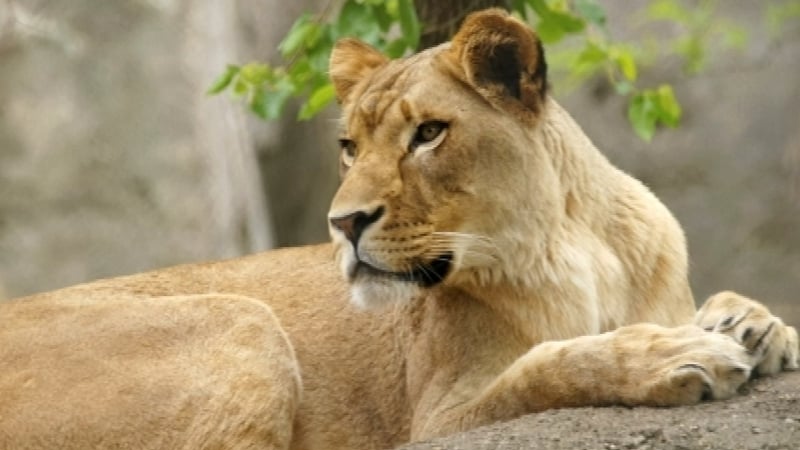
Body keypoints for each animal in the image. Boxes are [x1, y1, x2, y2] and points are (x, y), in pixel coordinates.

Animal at [0, 8, 797, 450]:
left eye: (429, 134)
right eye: (349, 147)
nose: (343, 223)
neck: (571, 249)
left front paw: (750, 322)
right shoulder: (439, 418)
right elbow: (548, 366)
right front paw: (676, 354)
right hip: (241, 319)